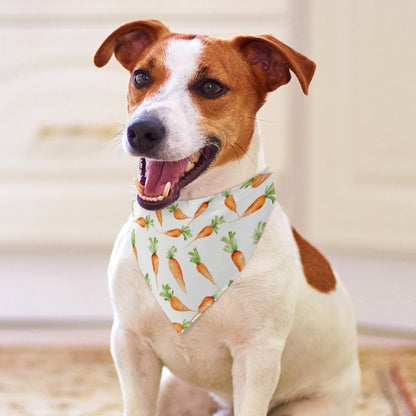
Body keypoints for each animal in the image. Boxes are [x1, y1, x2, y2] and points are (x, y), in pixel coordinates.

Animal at [94, 20, 360, 416]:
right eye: (141, 76)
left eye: (210, 87)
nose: (142, 130)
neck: (187, 222)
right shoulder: (130, 344)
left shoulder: (257, 357)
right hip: (174, 390)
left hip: (307, 407)